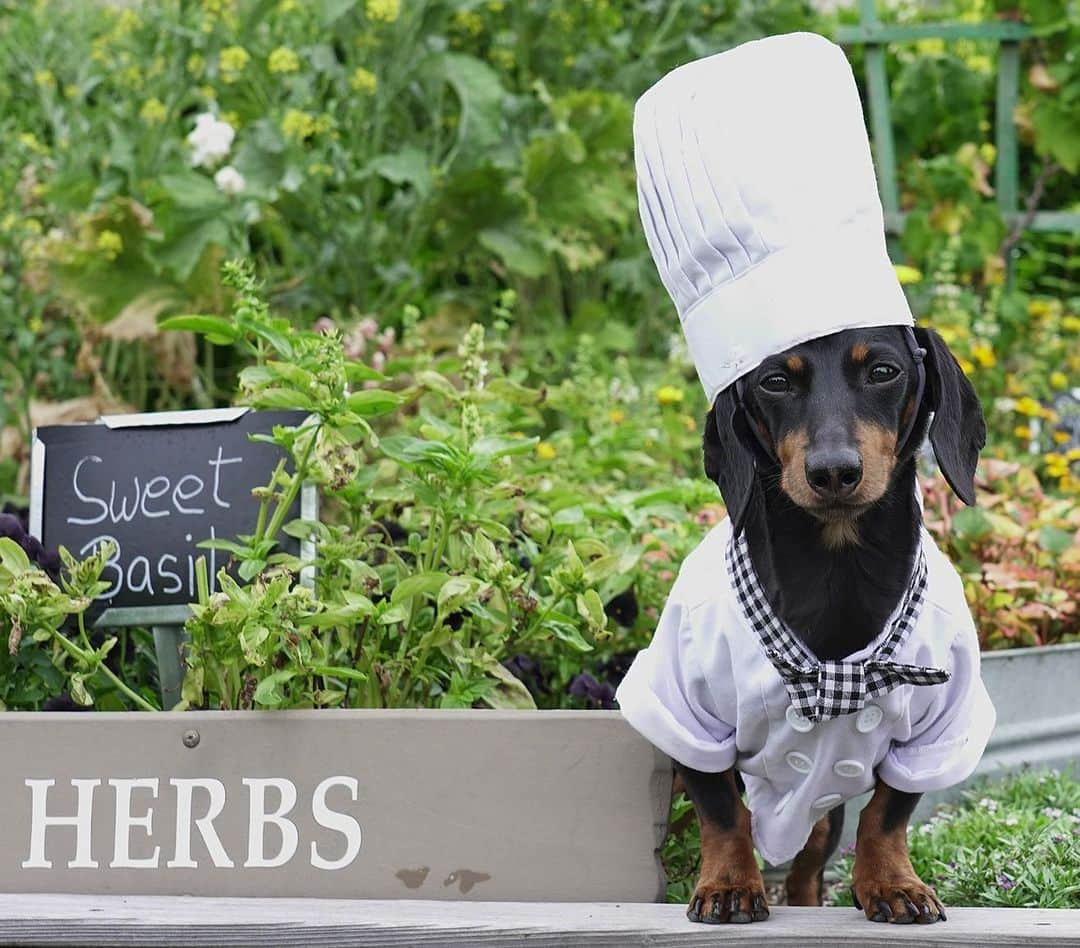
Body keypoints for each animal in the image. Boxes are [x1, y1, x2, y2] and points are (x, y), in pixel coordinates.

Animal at [682, 326, 989, 928]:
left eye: (884, 372)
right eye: (775, 381)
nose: (832, 472)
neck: (836, 564)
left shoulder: (935, 728)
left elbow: (887, 815)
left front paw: (893, 883)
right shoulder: (688, 718)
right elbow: (723, 812)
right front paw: (728, 886)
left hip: (820, 809)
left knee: (807, 868)